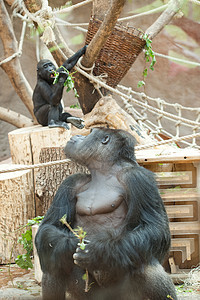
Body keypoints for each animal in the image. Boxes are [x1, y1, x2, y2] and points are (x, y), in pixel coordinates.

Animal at [35, 127, 177, 298]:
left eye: (90, 132)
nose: (77, 136)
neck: (104, 172)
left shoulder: (138, 178)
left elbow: (155, 229)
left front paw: (98, 252)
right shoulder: (72, 182)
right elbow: (50, 227)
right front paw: (73, 243)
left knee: (144, 262)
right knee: (53, 257)